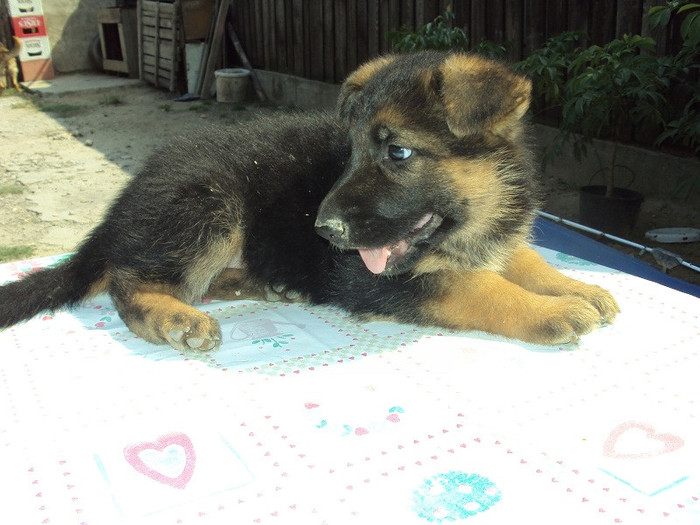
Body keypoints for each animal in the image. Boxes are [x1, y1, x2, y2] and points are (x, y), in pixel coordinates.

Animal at [0, 52, 616, 348]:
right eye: (351, 151)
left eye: (397, 152)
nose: (324, 231)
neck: (475, 211)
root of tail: (125, 201)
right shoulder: (379, 278)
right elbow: (475, 286)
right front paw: (552, 310)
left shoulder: (489, 239)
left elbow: (524, 259)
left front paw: (576, 286)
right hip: (209, 206)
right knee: (129, 281)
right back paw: (174, 318)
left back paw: (264, 284)